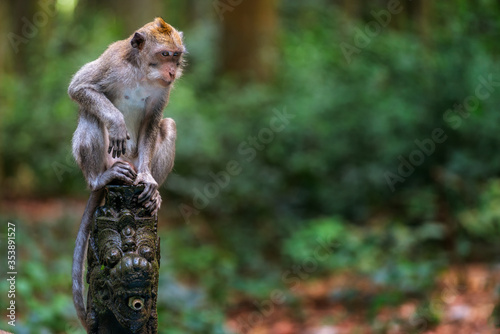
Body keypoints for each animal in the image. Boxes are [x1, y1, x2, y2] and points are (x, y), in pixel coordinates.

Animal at [68, 17, 186, 330]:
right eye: (164, 54)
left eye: (176, 56)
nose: (173, 71)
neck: (142, 72)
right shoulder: (112, 63)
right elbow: (80, 87)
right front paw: (117, 122)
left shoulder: (162, 91)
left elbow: (153, 122)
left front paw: (148, 181)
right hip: (109, 161)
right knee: (89, 113)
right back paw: (100, 179)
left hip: (134, 160)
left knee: (168, 126)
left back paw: (151, 192)